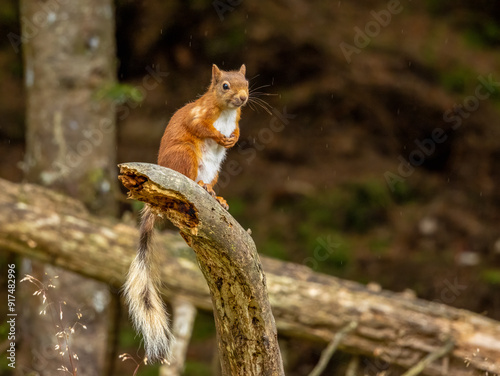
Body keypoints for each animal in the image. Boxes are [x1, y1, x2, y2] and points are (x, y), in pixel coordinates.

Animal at [123, 64, 248, 364]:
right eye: (225, 86)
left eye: (247, 82)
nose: (242, 98)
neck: (226, 112)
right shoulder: (198, 115)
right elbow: (199, 126)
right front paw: (219, 136)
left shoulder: (237, 118)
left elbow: (238, 128)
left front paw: (234, 137)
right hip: (185, 155)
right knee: (189, 176)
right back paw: (199, 186)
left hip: (214, 170)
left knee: (210, 184)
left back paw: (215, 195)